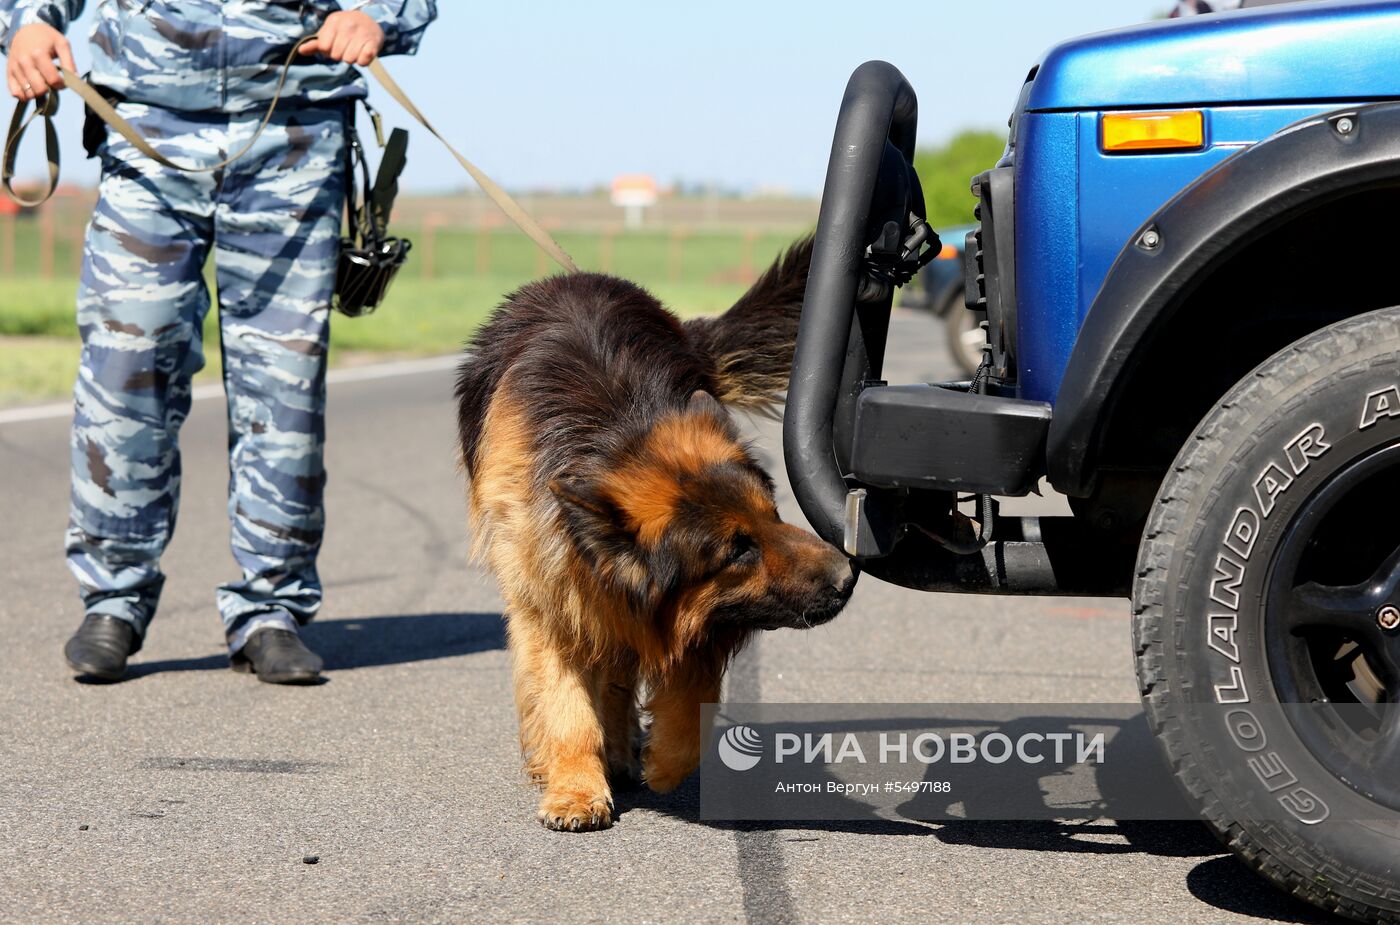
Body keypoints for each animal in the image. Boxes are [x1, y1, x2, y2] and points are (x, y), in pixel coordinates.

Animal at [456, 237, 851, 828]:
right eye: (738, 550)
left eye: (773, 515)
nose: (849, 576)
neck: (616, 433)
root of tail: (576, 276)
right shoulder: (553, 594)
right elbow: (565, 703)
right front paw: (575, 788)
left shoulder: (686, 615)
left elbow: (692, 693)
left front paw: (664, 761)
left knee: (619, 676)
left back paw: (622, 751)